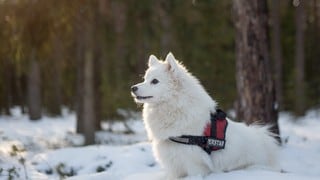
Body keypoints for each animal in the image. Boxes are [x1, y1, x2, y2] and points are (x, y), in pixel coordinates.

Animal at [130, 52, 278, 179]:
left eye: (155, 81)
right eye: (144, 79)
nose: (133, 88)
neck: (177, 107)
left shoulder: (194, 165)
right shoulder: (174, 165)